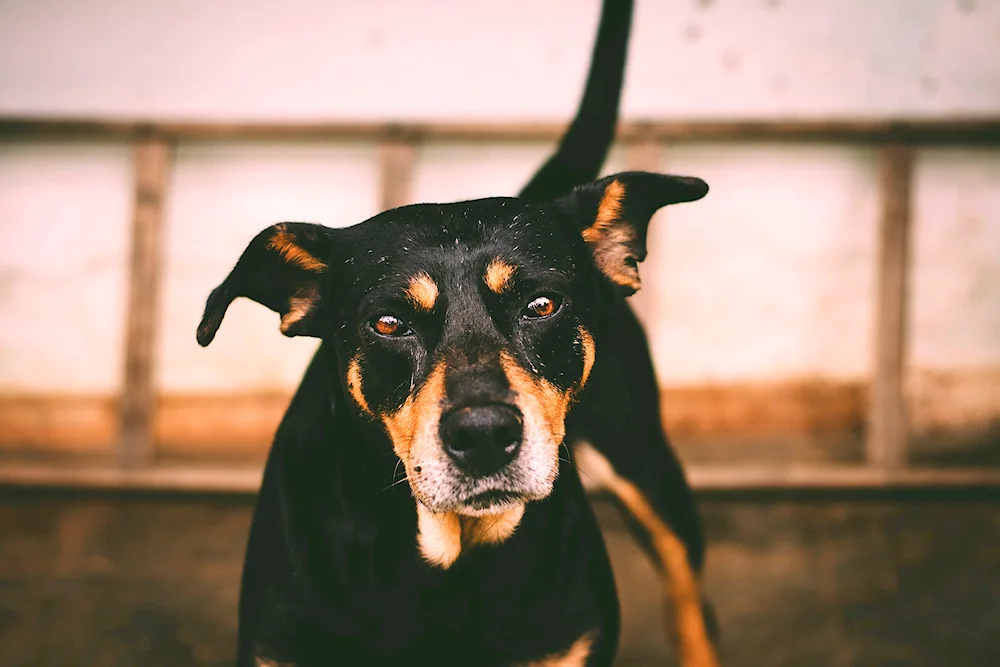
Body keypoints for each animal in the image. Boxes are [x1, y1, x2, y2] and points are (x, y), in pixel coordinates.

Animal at [197, 2, 720, 664]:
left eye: (542, 304)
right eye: (388, 323)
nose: (484, 434)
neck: (448, 565)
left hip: (646, 462)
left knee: (691, 600)